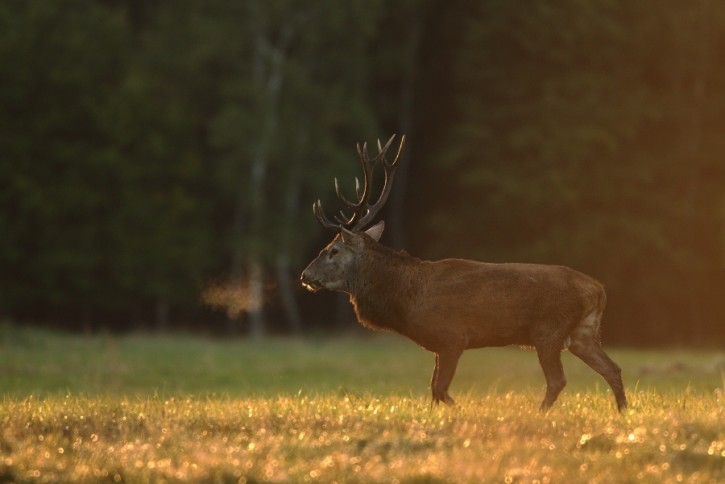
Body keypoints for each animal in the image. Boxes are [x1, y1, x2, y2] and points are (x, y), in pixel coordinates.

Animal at [300, 135, 628, 412]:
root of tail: (599, 290)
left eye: (333, 250)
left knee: (558, 380)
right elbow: (433, 390)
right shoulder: (438, 345)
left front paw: (461, 412)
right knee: (612, 368)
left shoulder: (452, 336)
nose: (305, 275)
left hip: (548, 329)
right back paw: (622, 413)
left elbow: (440, 389)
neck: (406, 300)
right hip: (583, 332)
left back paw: (540, 414)